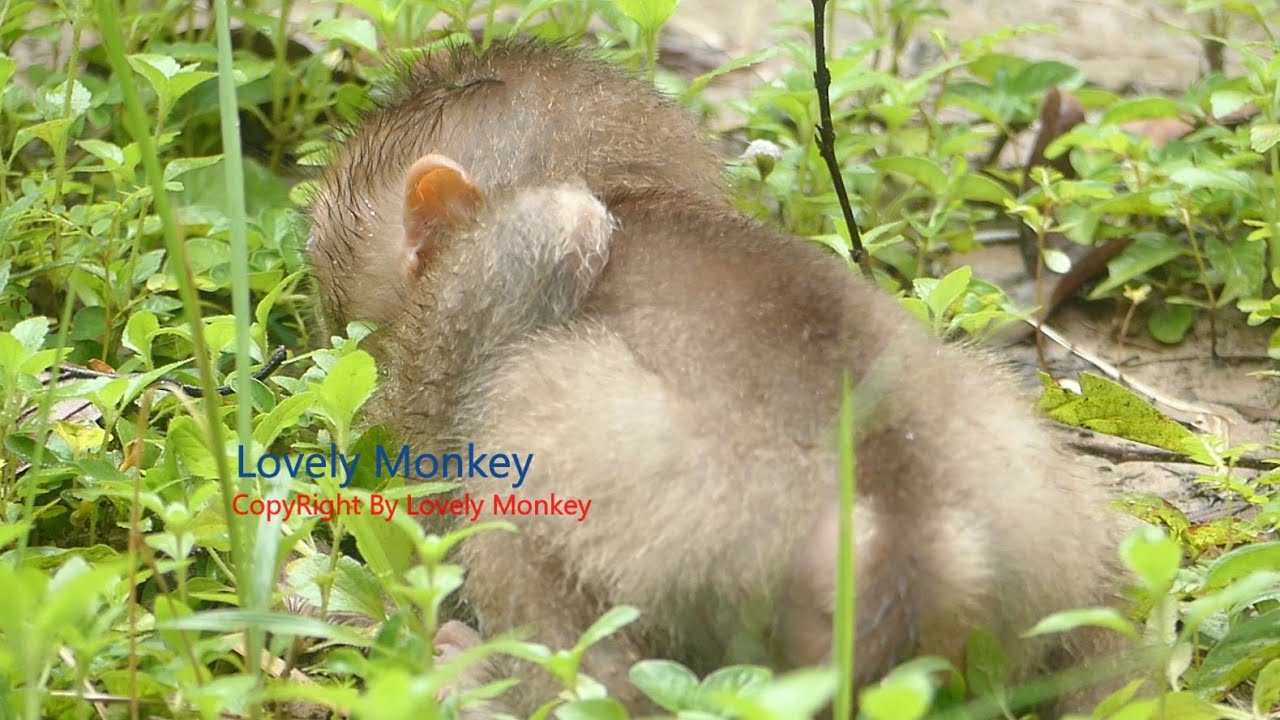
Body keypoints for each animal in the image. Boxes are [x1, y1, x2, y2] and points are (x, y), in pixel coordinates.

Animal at [307, 40, 1128, 717]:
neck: (637, 199)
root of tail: (910, 540)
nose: (338, 345)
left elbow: (558, 232)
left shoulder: (486, 268)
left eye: (362, 326)